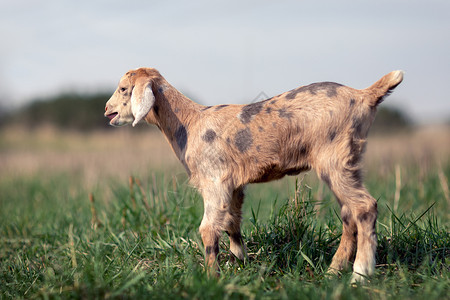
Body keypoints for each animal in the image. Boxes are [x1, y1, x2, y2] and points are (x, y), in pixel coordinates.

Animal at [104, 67, 404, 282]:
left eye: (123, 89)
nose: (107, 110)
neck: (190, 123)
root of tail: (364, 95)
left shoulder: (214, 180)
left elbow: (208, 229)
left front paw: (211, 278)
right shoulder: (234, 184)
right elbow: (231, 222)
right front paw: (241, 264)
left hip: (335, 158)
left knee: (364, 207)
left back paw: (359, 275)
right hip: (348, 160)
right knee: (348, 214)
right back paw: (333, 272)